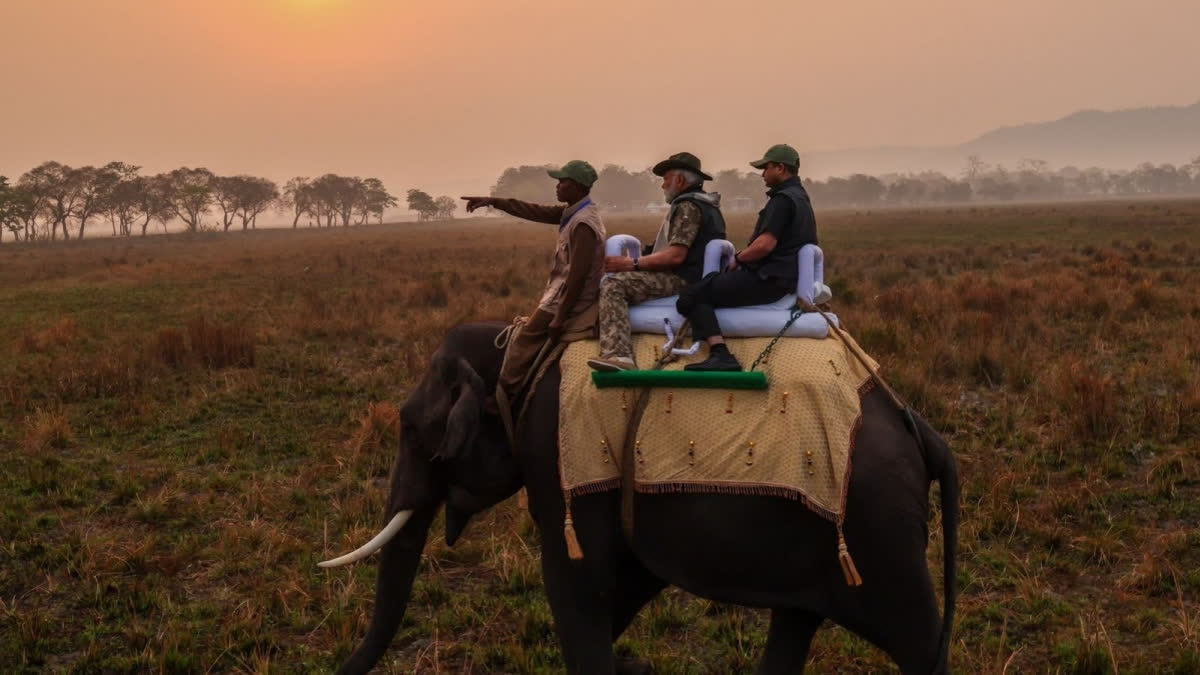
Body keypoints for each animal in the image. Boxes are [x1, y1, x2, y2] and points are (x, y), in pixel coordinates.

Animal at [319, 321, 955, 672]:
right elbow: (623, 583)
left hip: (881, 531)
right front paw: (636, 665)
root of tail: (918, 427)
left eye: (410, 429)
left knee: (920, 643)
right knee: (795, 623)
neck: (520, 348)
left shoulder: (557, 458)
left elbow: (578, 585)